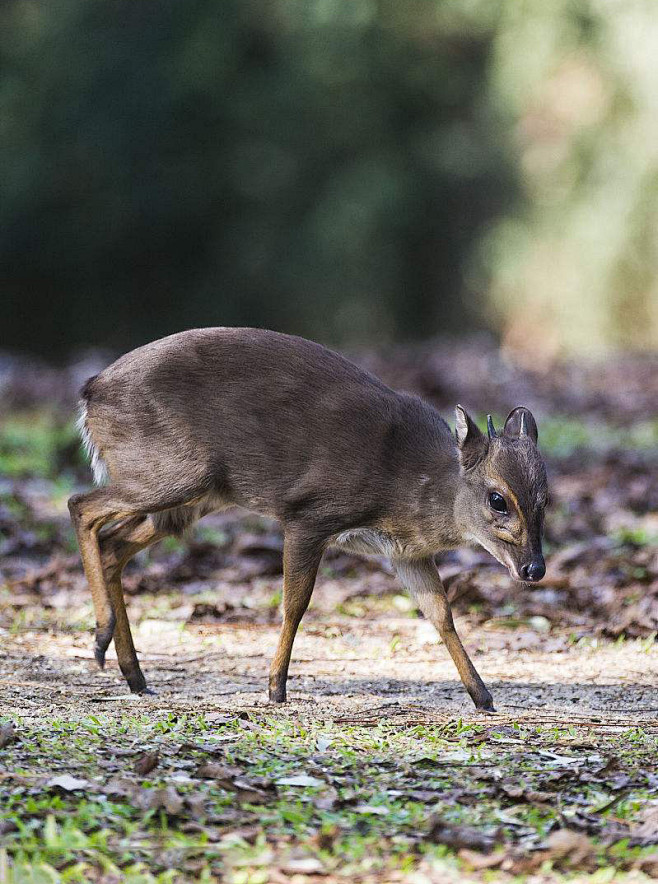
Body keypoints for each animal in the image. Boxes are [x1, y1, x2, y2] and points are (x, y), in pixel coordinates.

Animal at [69, 328, 544, 708]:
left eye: (545, 499)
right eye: (498, 499)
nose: (534, 569)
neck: (411, 488)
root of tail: (91, 390)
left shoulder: (404, 552)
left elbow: (441, 614)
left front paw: (483, 696)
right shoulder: (309, 515)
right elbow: (295, 604)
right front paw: (275, 688)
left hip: (187, 499)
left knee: (112, 545)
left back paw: (133, 674)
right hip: (171, 477)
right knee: (81, 505)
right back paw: (101, 637)